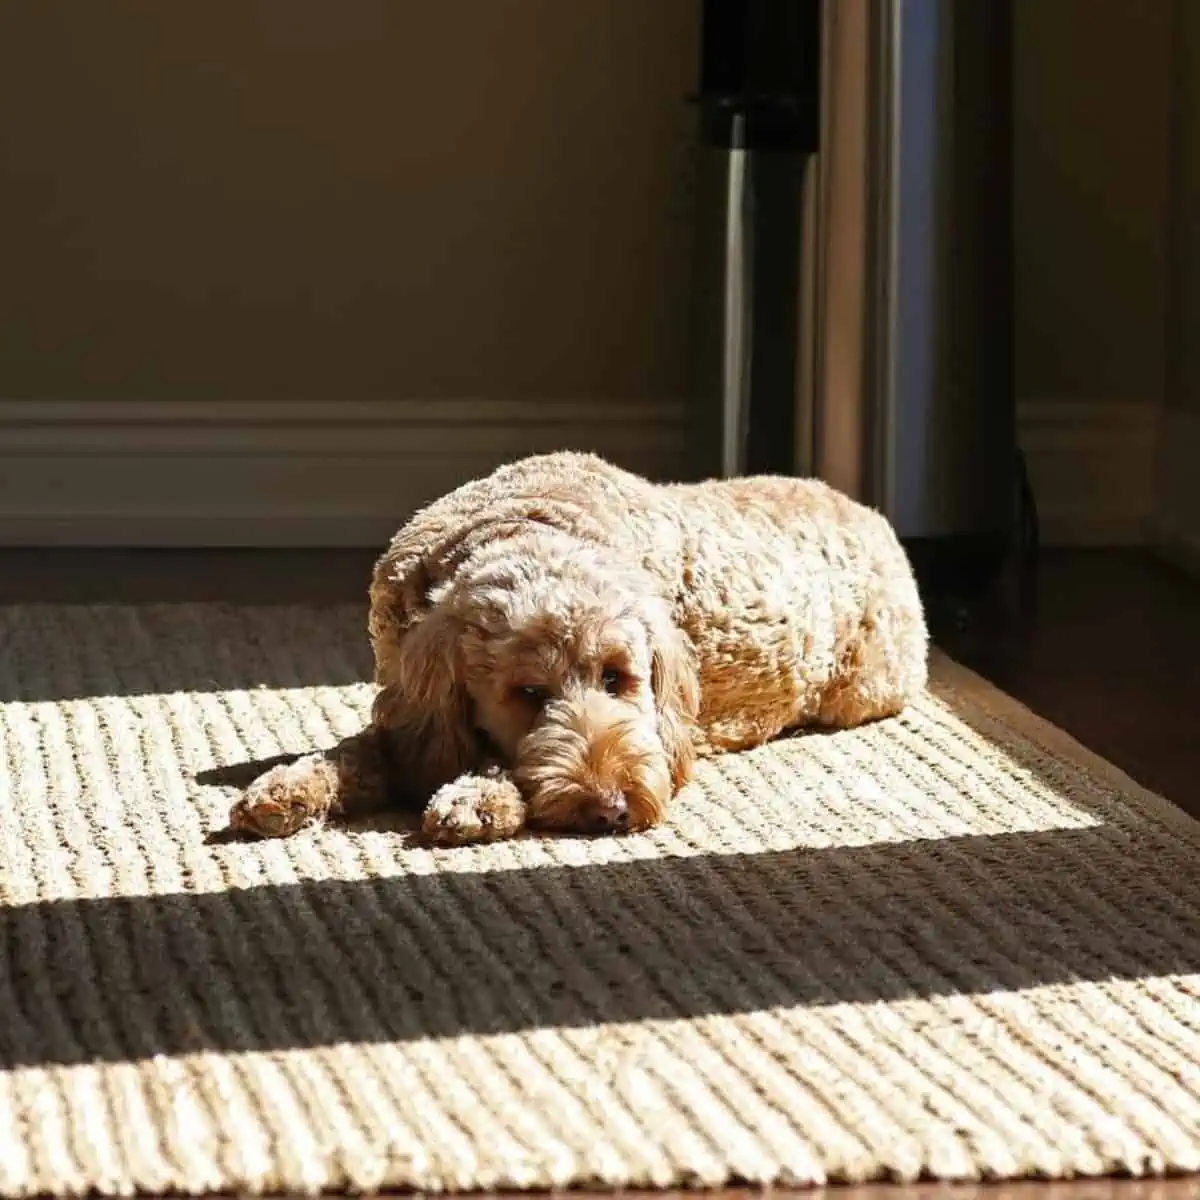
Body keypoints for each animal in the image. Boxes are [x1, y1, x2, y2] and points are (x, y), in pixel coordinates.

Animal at [229, 451, 931, 844]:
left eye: (619, 678)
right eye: (528, 693)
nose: (613, 811)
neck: (527, 522)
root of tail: (869, 512)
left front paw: (479, 798)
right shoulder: (409, 709)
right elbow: (357, 750)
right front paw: (289, 788)